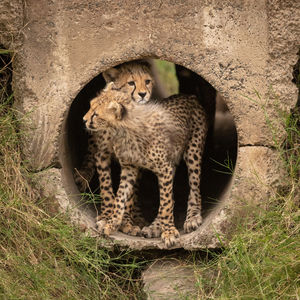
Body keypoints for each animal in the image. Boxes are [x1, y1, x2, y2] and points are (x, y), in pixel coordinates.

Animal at [74, 59, 155, 233]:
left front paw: (127, 221)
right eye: (131, 83)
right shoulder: (102, 153)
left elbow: (129, 193)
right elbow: (105, 185)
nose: (143, 94)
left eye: (147, 81)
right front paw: (106, 215)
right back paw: (83, 175)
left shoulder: (132, 161)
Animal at [83, 82, 207, 248]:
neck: (124, 130)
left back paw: (192, 217)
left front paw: (169, 232)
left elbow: (166, 203)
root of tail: (188, 95)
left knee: (194, 187)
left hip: (193, 152)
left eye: (96, 114)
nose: (84, 119)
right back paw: (155, 227)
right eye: (90, 106)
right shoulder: (130, 168)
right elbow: (120, 197)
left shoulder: (164, 169)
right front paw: (111, 223)